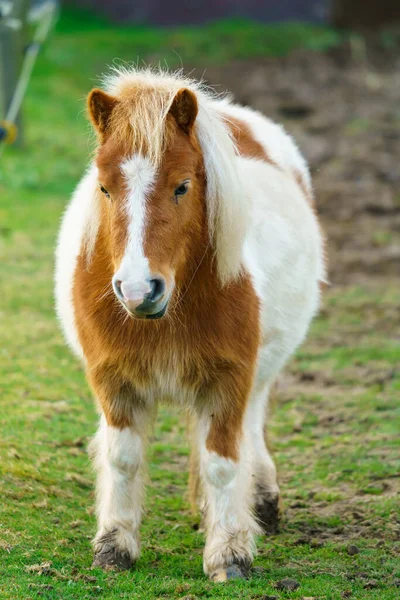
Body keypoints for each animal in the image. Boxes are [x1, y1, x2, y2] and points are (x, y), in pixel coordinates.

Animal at [55, 68, 324, 584]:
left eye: (182, 186)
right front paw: (114, 547)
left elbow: (223, 462)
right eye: (104, 188)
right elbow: (123, 458)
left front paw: (229, 554)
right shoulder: (113, 382)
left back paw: (260, 501)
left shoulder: (229, 381)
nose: (139, 290)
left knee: (251, 426)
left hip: (259, 372)